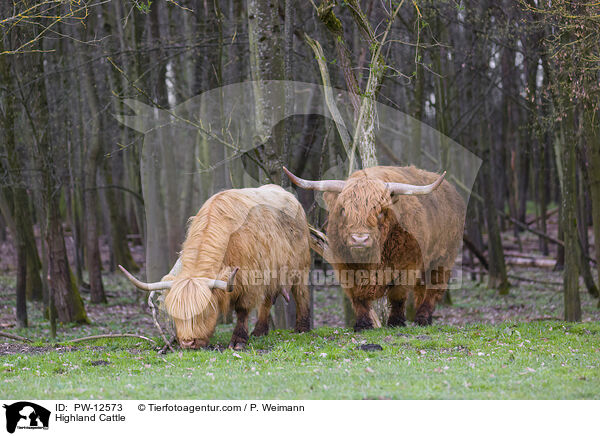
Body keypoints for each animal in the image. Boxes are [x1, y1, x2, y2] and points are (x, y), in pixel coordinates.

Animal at [120, 185, 312, 350]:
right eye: (175, 314)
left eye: (203, 312)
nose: (188, 342)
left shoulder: (250, 281)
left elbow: (242, 310)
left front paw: (238, 341)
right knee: (267, 300)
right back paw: (259, 331)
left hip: (300, 266)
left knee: (300, 293)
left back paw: (302, 328)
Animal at [284, 166, 466, 330]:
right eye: (344, 210)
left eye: (380, 211)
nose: (359, 238)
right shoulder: (345, 268)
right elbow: (357, 297)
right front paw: (363, 324)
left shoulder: (407, 265)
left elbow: (398, 295)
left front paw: (396, 322)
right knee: (422, 289)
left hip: (443, 258)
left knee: (434, 287)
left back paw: (422, 318)